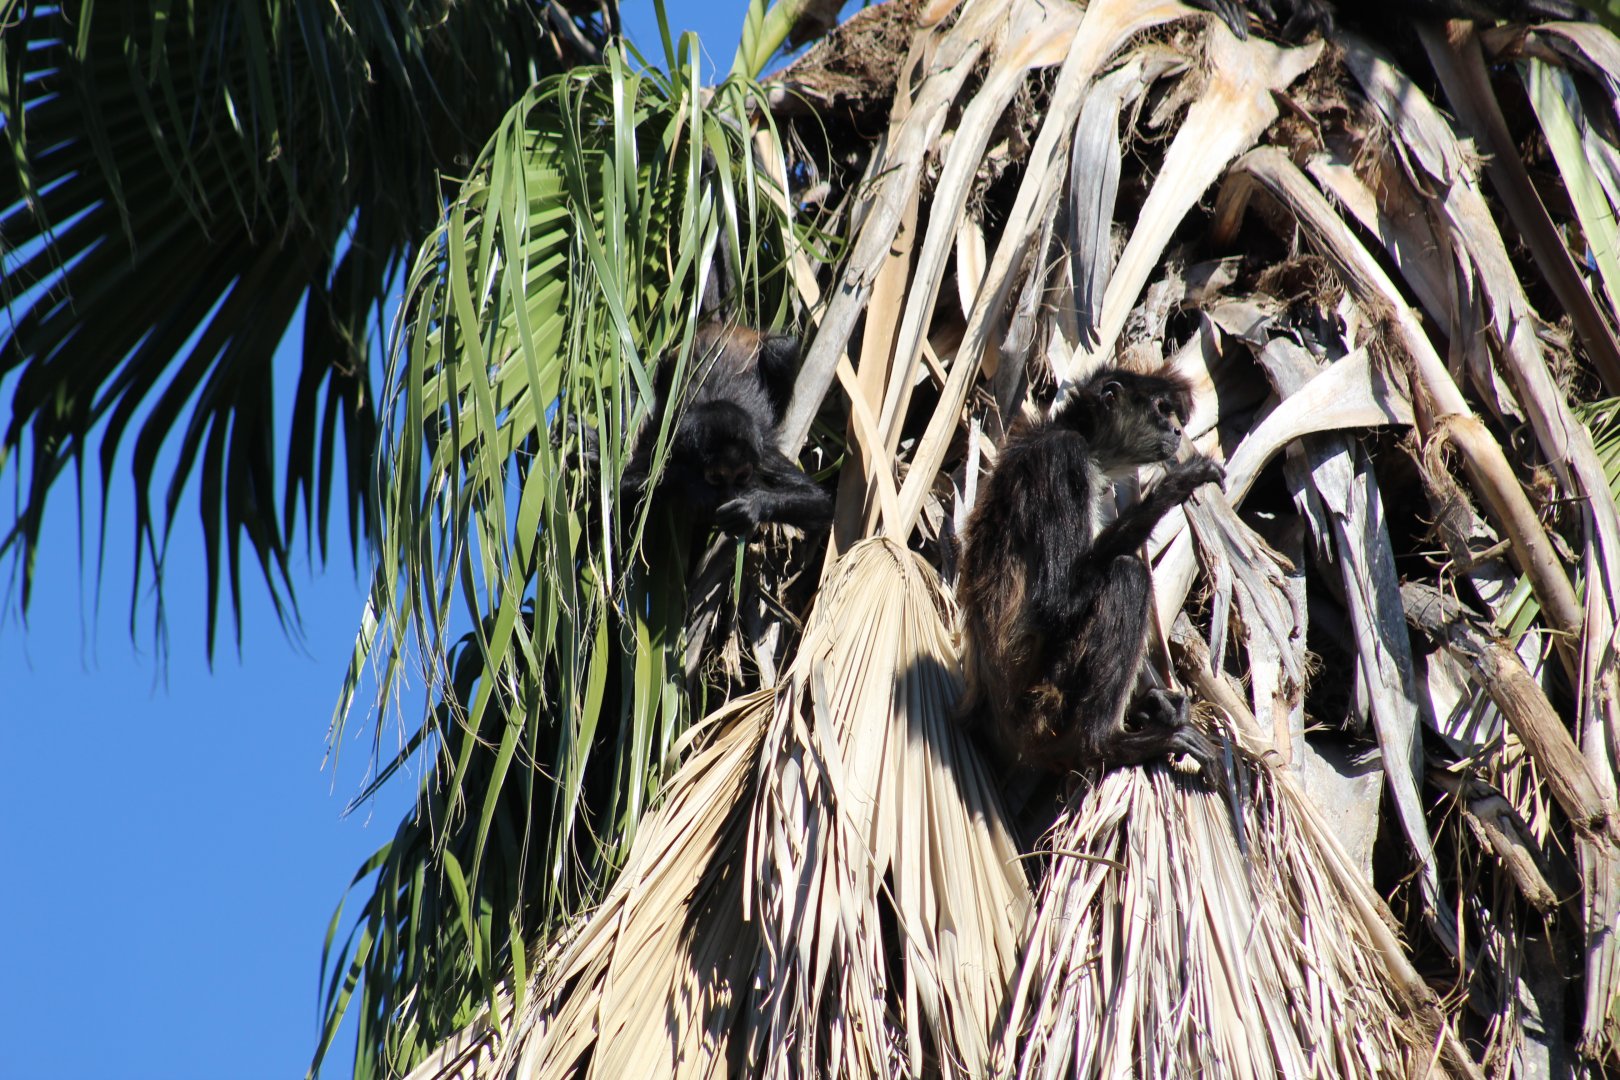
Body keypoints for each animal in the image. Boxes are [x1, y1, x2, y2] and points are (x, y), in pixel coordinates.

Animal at [621, 323, 833, 537]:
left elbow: (820, 503)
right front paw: (698, 488)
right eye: (717, 477)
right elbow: (621, 484)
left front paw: (752, 506)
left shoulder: (764, 455)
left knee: (781, 348)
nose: (729, 495)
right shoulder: (670, 444)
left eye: (741, 477)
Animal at [956, 365, 1226, 785]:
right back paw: (1104, 745)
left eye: (1171, 413)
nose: (1177, 431)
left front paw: (1156, 701)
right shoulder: (1062, 457)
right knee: (1127, 574)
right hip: (1044, 700)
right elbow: (1055, 604)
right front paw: (1175, 486)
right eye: (1161, 409)